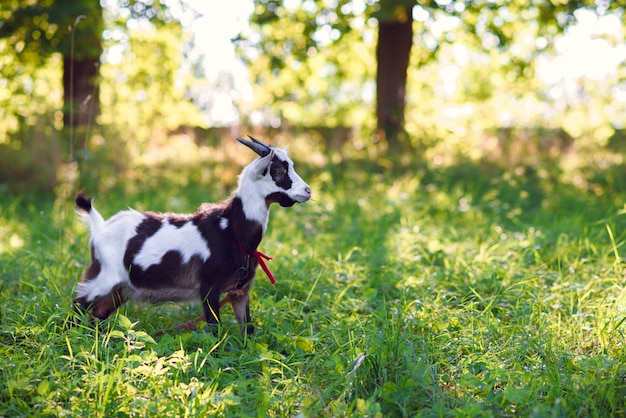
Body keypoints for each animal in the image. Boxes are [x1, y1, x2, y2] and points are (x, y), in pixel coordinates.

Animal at [73, 138, 312, 336]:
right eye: (279, 172)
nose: (308, 191)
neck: (232, 231)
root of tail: (100, 227)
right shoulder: (208, 287)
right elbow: (215, 328)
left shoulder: (241, 291)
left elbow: (248, 328)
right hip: (105, 276)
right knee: (78, 303)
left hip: (120, 288)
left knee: (97, 314)